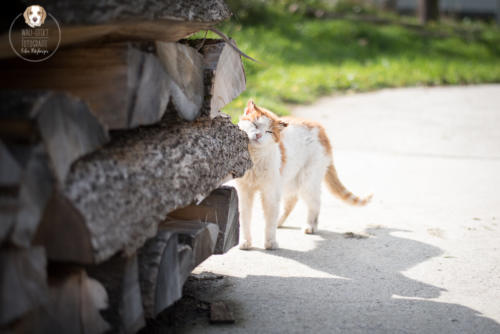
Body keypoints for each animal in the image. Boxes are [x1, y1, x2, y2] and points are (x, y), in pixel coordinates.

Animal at [234, 100, 372, 250]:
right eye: (255, 125)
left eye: (268, 132)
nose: (259, 135)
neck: (254, 159)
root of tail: (319, 127)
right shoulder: (245, 192)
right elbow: (245, 218)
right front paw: (245, 241)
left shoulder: (270, 193)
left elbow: (269, 221)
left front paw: (270, 242)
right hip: (287, 180)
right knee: (292, 201)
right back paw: (279, 222)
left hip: (307, 182)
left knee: (315, 203)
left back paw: (310, 226)